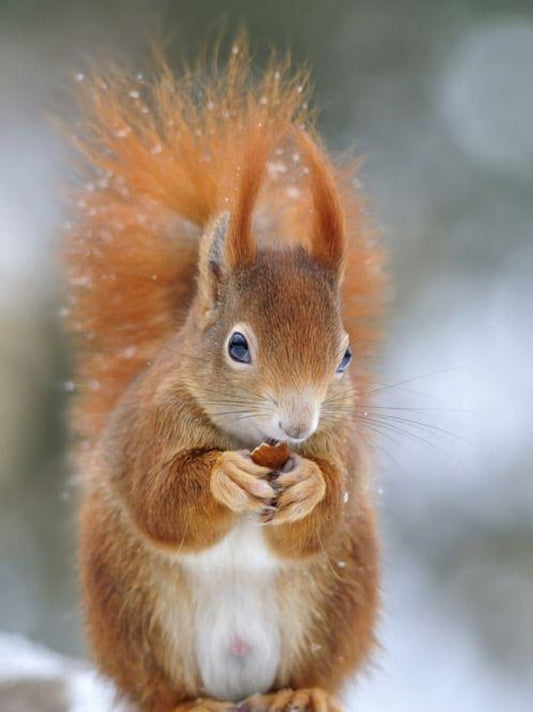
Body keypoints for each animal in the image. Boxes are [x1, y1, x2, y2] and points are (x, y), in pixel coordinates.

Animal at [64, 37, 386, 712]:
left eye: (345, 356)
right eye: (239, 346)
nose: (297, 424)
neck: (250, 437)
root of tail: (239, 679)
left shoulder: (341, 449)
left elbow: (326, 512)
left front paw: (311, 485)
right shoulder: (151, 428)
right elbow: (160, 499)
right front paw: (224, 477)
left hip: (337, 598)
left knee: (316, 662)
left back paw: (302, 692)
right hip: (134, 608)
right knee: (157, 684)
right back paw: (189, 701)